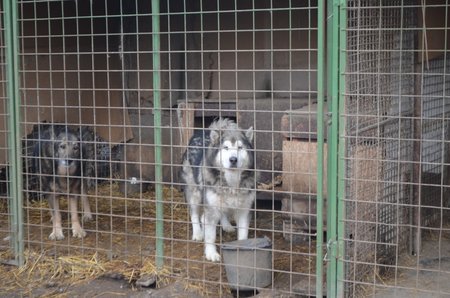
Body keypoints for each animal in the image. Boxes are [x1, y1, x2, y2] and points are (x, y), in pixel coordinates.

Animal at [180, 117, 256, 262]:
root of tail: (203, 131)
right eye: (225, 148)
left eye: (240, 148)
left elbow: (243, 234)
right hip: (195, 193)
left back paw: (226, 225)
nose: (233, 159)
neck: (230, 182)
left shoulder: (244, 210)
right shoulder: (210, 209)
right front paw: (211, 253)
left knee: (222, 213)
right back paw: (198, 232)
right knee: (195, 214)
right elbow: (210, 235)